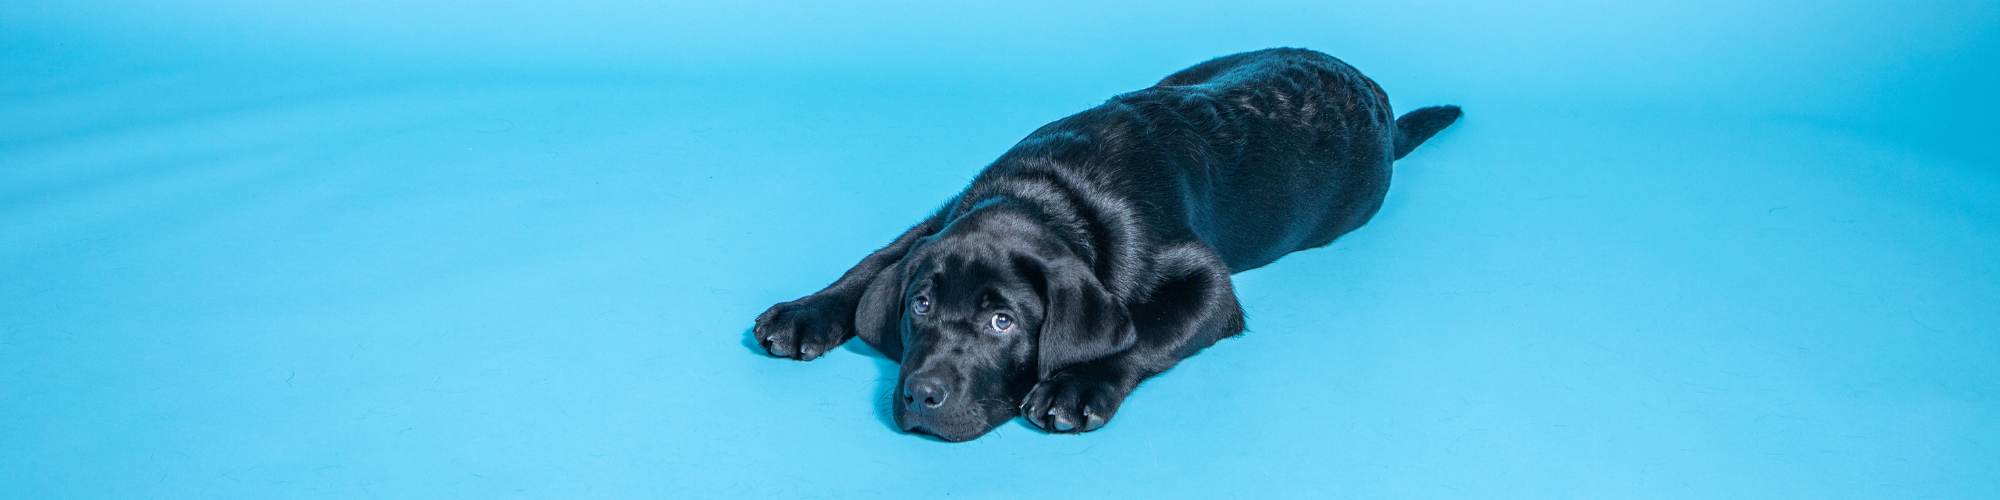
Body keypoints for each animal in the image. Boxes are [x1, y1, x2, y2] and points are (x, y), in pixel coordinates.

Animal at [752, 47, 1456, 442]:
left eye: (1003, 321)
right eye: (919, 305)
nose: (919, 395)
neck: (1050, 193)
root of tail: (1375, 93)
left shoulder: (1209, 284)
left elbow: (1145, 332)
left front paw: (1076, 387)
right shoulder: (942, 215)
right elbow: (876, 260)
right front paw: (804, 312)